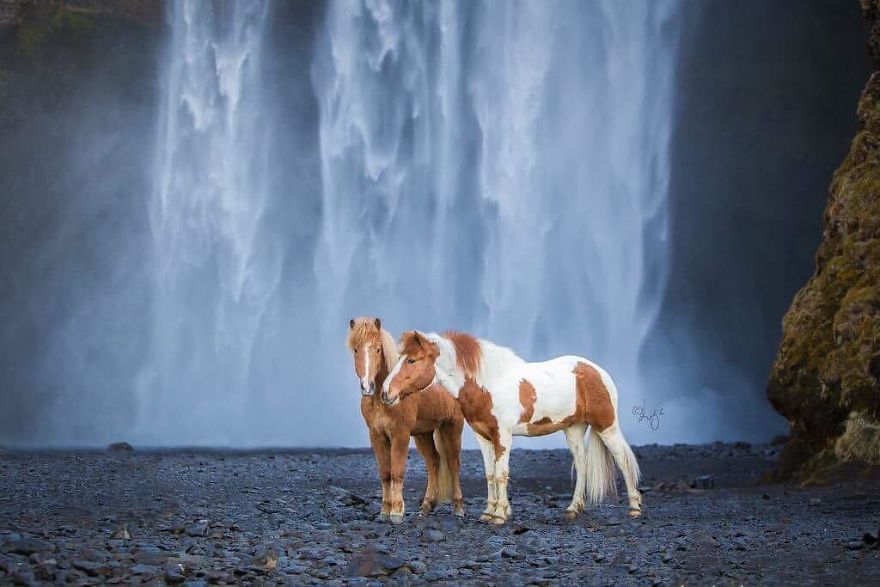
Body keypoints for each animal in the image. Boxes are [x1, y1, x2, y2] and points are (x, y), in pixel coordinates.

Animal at [346, 317, 465, 523]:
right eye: (355, 349)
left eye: (378, 349)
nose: (367, 386)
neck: (380, 400)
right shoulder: (376, 436)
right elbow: (385, 473)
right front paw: (384, 511)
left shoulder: (400, 435)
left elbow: (397, 472)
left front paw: (397, 512)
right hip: (423, 435)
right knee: (433, 463)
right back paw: (426, 507)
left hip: (452, 428)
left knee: (453, 463)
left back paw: (458, 508)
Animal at [382, 330, 642, 525]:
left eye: (411, 360)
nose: (386, 393)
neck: (487, 384)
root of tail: (597, 371)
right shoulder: (483, 437)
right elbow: (489, 474)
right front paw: (488, 512)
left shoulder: (503, 437)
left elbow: (501, 474)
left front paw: (499, 515)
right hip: (574, 429)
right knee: (582, 465)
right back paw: (572, 509)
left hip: (606, 426)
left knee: (622, 459)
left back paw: (634, 508)